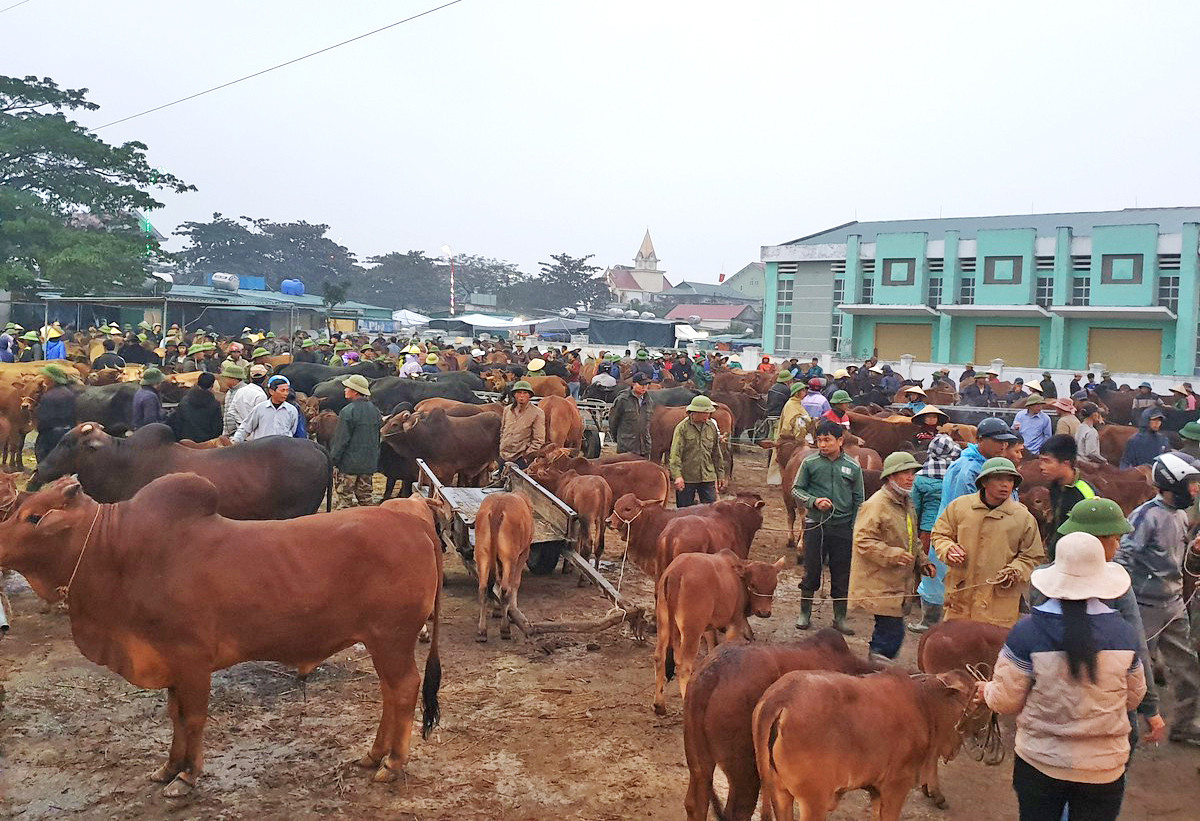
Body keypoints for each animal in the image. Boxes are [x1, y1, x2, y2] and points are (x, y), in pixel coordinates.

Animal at [0, 475, 441, 796]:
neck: (118, 552)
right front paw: (168, 767)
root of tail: (412, 521)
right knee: (390, 693)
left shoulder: (192, 661)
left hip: (392, 639)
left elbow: (193, 718)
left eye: (33, 518)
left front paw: (186, 777)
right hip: (381, 642)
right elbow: (175, 717)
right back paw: (374, 754)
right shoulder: (171, 665)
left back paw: (392, 763)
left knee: (404, 690)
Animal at [472, 489, 535, 643]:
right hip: (509, 558)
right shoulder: (523, 554)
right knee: (506, 588)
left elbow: (497, 581)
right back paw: (505, 629)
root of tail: (498, 507)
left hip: (483, 555)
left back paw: (482, 631)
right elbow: (515, 583)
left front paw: (497, 609)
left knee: (483, 589)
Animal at [657, 552, 787, 720]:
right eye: (752, 584)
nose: (764, 612)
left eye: (773, 586)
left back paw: (659, 705)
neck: (738, 579)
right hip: (692, 629)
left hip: (664, 623)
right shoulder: (734, 622)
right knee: (683, 665)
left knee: (659, 656)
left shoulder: (708, 627)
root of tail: (676, 572)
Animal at [748, 667, 984, 820]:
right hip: (812, 801)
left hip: (779, 792)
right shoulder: (896, 786)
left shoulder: (877, 789)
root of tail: (780, 698)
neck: (924, 703)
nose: (980, 731)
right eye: (974, 699)